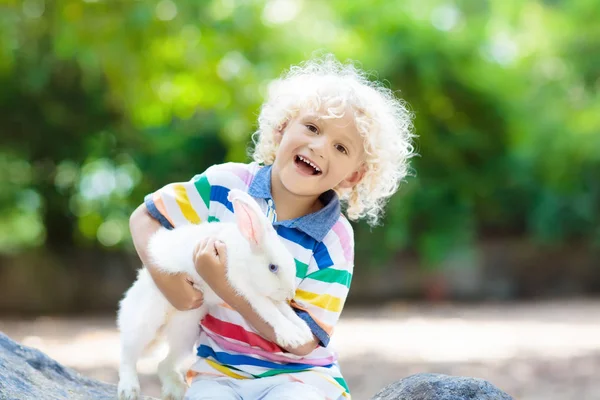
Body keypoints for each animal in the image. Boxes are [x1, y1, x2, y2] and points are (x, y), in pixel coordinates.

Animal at [116, 189, 314, 400]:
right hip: (143, 325)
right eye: (273, 267)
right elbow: (270, 312)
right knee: (127, 356)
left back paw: (175, 390)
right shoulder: (247, 290)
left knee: (164, 364)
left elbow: (286, 312)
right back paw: (129, 390)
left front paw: (304, 332)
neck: (246, 257)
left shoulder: (270, 298)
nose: (290, 293)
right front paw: (292, 337)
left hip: (185, 334)